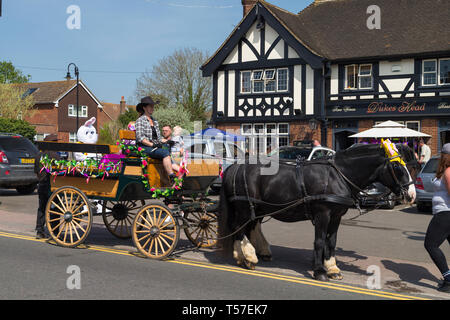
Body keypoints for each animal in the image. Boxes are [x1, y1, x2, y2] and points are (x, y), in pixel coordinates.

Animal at [217, 144, 414, 282]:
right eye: (397, 167)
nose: (411, 195)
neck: (338, 175)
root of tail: (236, 166)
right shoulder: (322, 214)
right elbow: (319, 242)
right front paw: (320, 271)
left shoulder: (336, 216)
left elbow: (331, 241)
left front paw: (333, 268)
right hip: (244, 206)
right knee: (238, 228)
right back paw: (247, 257)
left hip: (258, 207)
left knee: (250, 227)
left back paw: (248, 255)